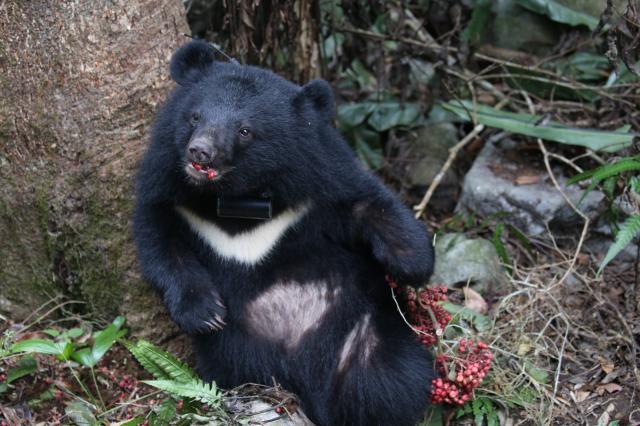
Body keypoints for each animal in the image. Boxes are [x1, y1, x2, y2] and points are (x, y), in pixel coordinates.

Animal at [133, 40, 438, 426]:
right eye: (195, 117)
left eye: (245, 130)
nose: (200, 152)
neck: (239, 196)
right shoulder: (165, 183)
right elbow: (159, 242)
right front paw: (206, 313)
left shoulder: (321, 176)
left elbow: (366, 201)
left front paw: (414, 262)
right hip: (237, 354)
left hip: (365, 333)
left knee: (392, 382)